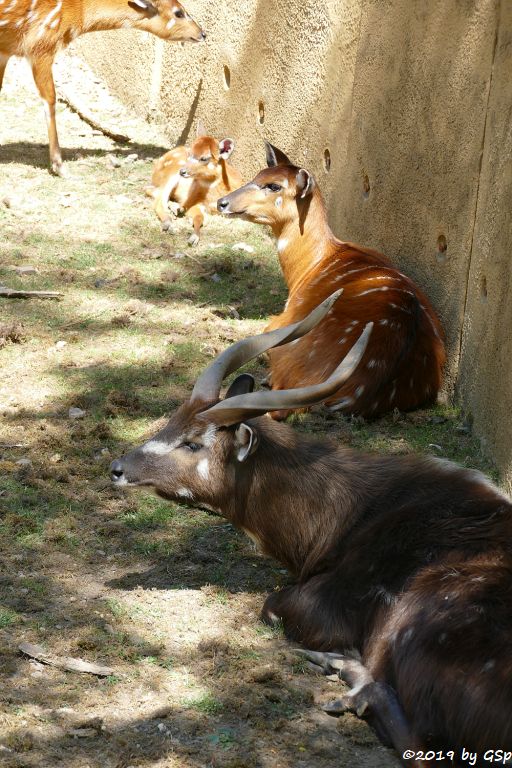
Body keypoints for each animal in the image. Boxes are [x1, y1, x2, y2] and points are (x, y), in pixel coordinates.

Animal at [0, 0, 204, 174]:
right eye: (179, 12)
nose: (202, 33)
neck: (77, 11)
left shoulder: (6, 51)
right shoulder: (40, 48)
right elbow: (50, 98)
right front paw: (59, 166)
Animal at [111, 292, 512, 764]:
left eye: (193, 443)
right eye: (173, 419)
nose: (117, 468)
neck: (350, 512)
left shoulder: (321, 606)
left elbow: (273, 605)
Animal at [218, 144, 446, 420]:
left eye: (273, 185)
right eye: (257, 175)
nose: (222, 202)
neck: (308, 268)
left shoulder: (283, 320)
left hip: (294, 349)